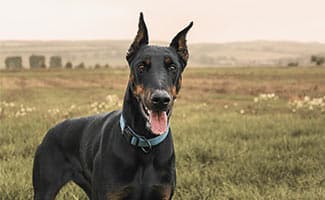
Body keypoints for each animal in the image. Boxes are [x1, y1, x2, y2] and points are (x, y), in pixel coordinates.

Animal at [32, 13, 192, 199]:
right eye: (141, 66)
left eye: (172, 67)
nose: (160, 99)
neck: (145, 145)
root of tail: (50, 132)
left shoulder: (161, 193)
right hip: (45, 188)